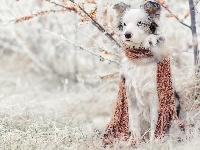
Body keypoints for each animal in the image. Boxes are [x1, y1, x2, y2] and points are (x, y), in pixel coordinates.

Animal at [111, 0, 181, 144]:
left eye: (139, 22)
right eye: (124, 24)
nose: (127, 34)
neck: (140, 59)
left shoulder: (154, 96)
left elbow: (155, 122)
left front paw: (154, 142)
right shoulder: (131, 96)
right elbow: (134, 123)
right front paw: (135, 142)